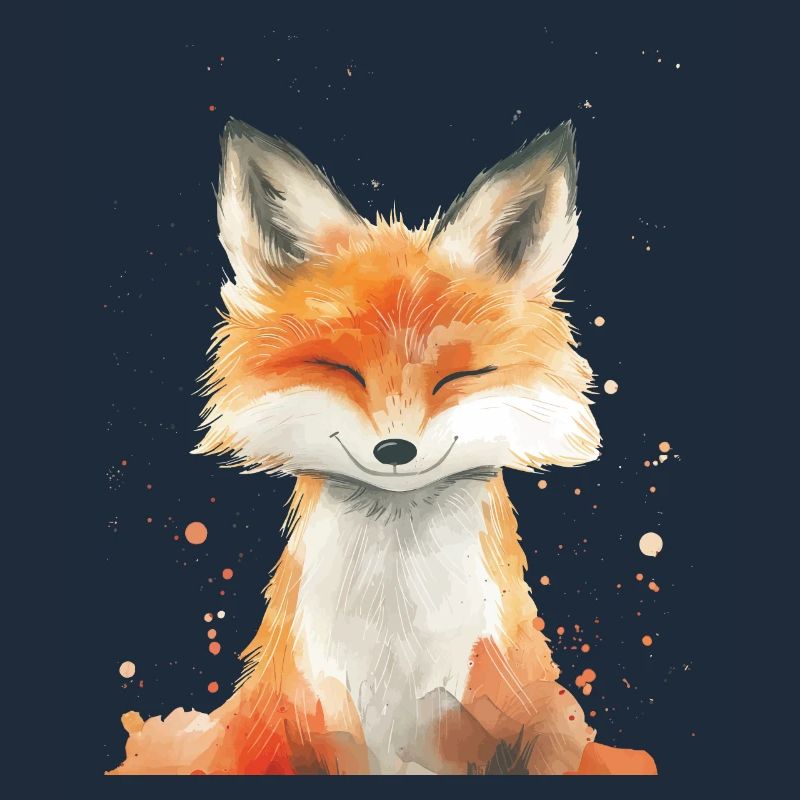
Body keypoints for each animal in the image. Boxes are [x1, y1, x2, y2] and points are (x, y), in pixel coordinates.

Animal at [109, 119, 656, 775]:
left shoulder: (531, 721)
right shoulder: (305, 724)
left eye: (460, 376)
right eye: (339, 368)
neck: (396, 656)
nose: (395, 451)